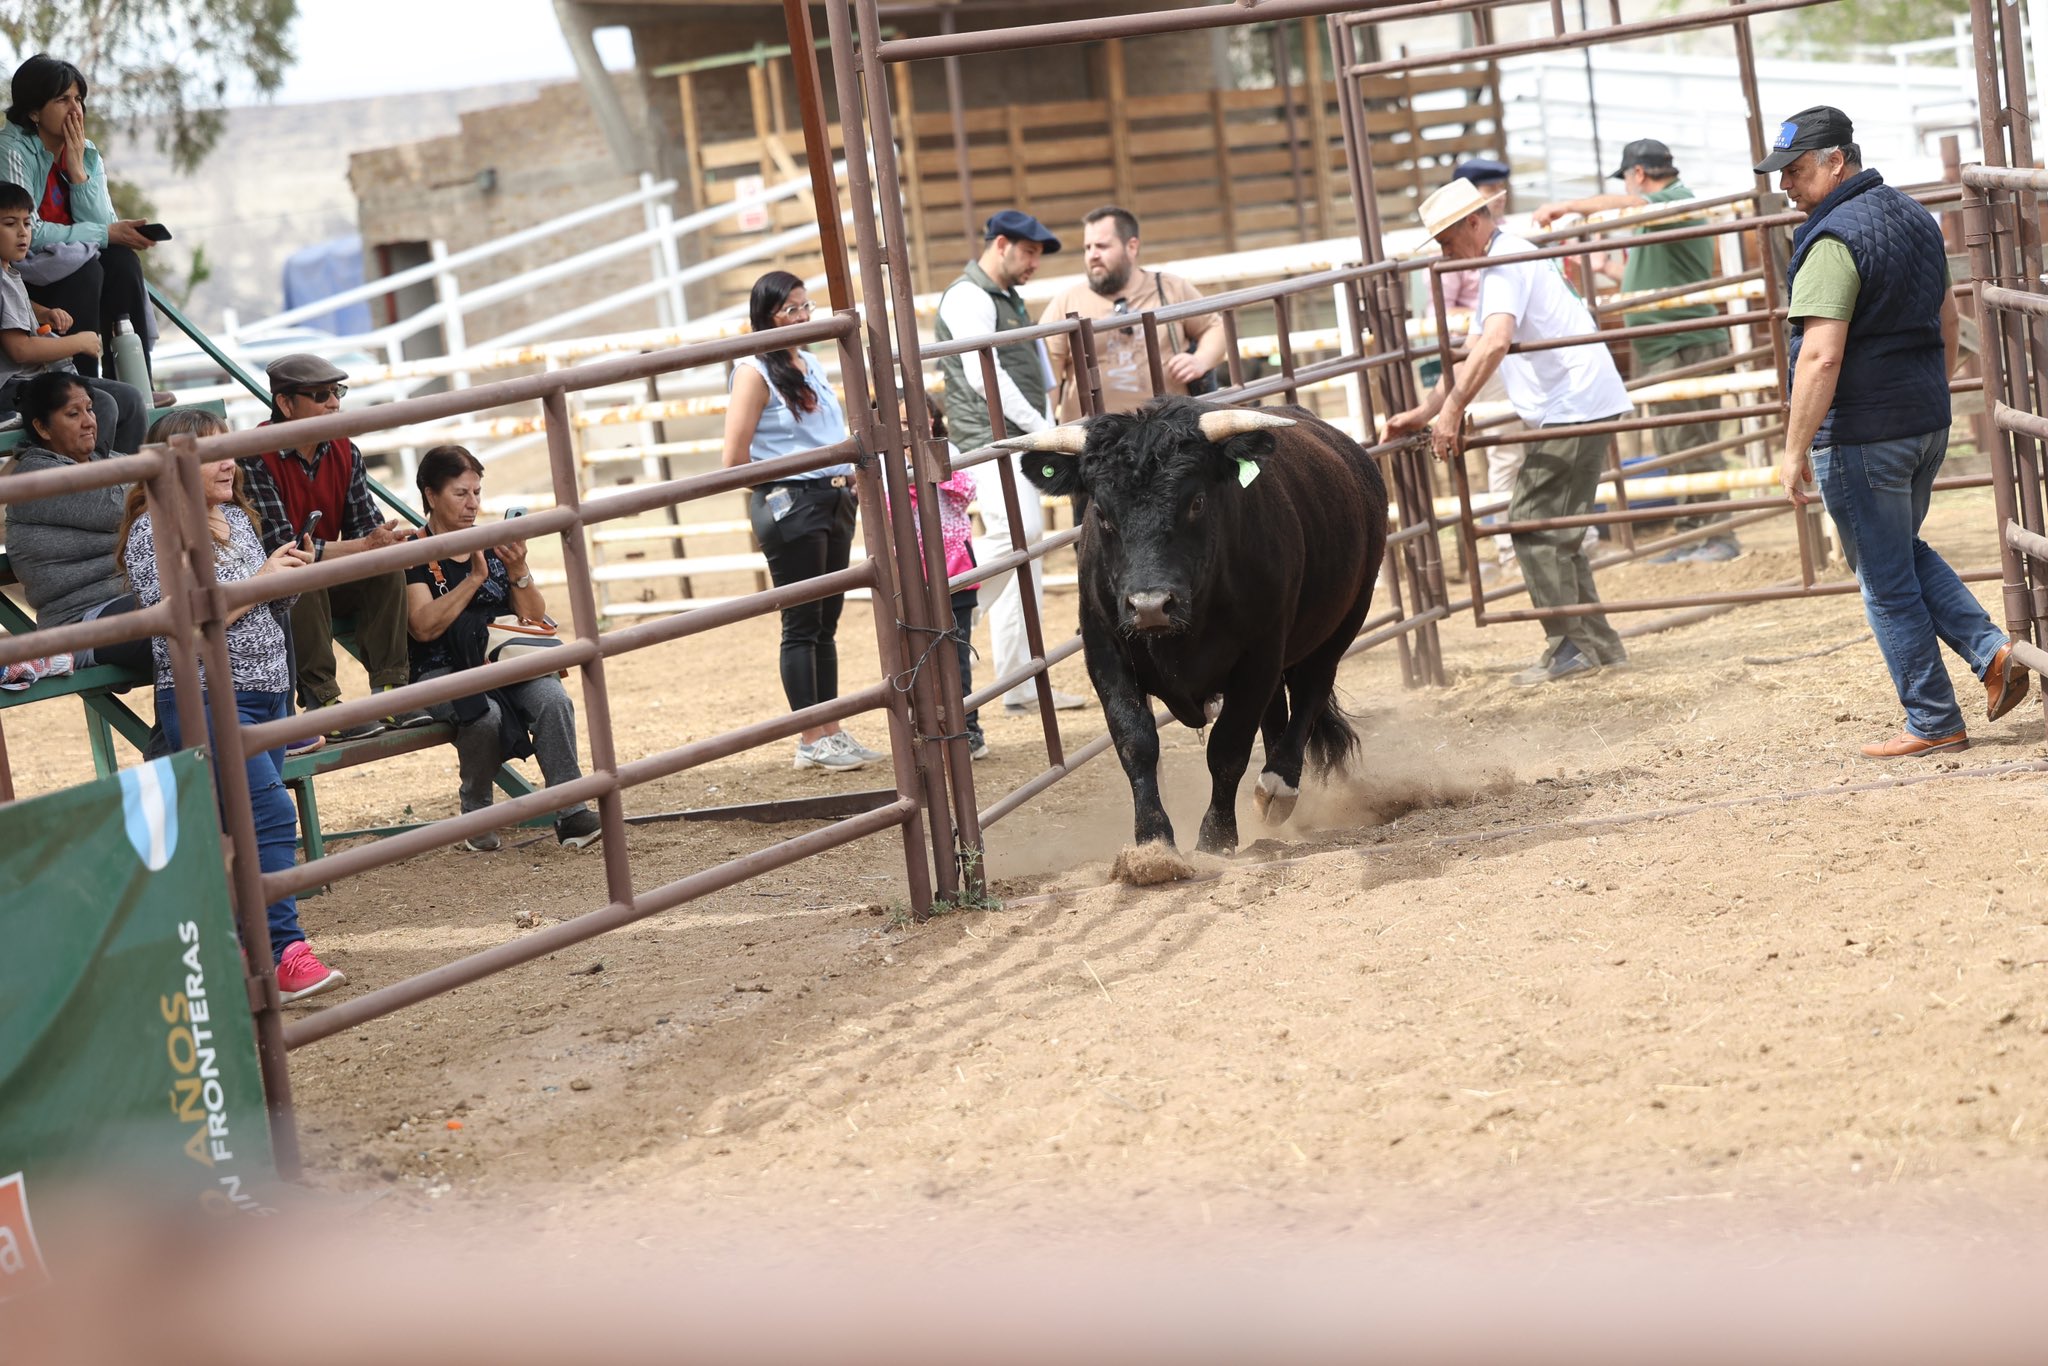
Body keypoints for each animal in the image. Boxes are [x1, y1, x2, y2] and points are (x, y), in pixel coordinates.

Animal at [1003, 395, 1392, 860]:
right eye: (1101, 512)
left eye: (1197, 502)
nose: (1150, 606)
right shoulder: (1104, 652)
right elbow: (1135, 742)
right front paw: (1153, 844)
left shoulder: (1259, 654)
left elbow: (1228, 747)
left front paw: (1216, 838)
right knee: (1278, 713)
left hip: (1343, 623)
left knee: (1308, 697)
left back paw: (1279, 788)